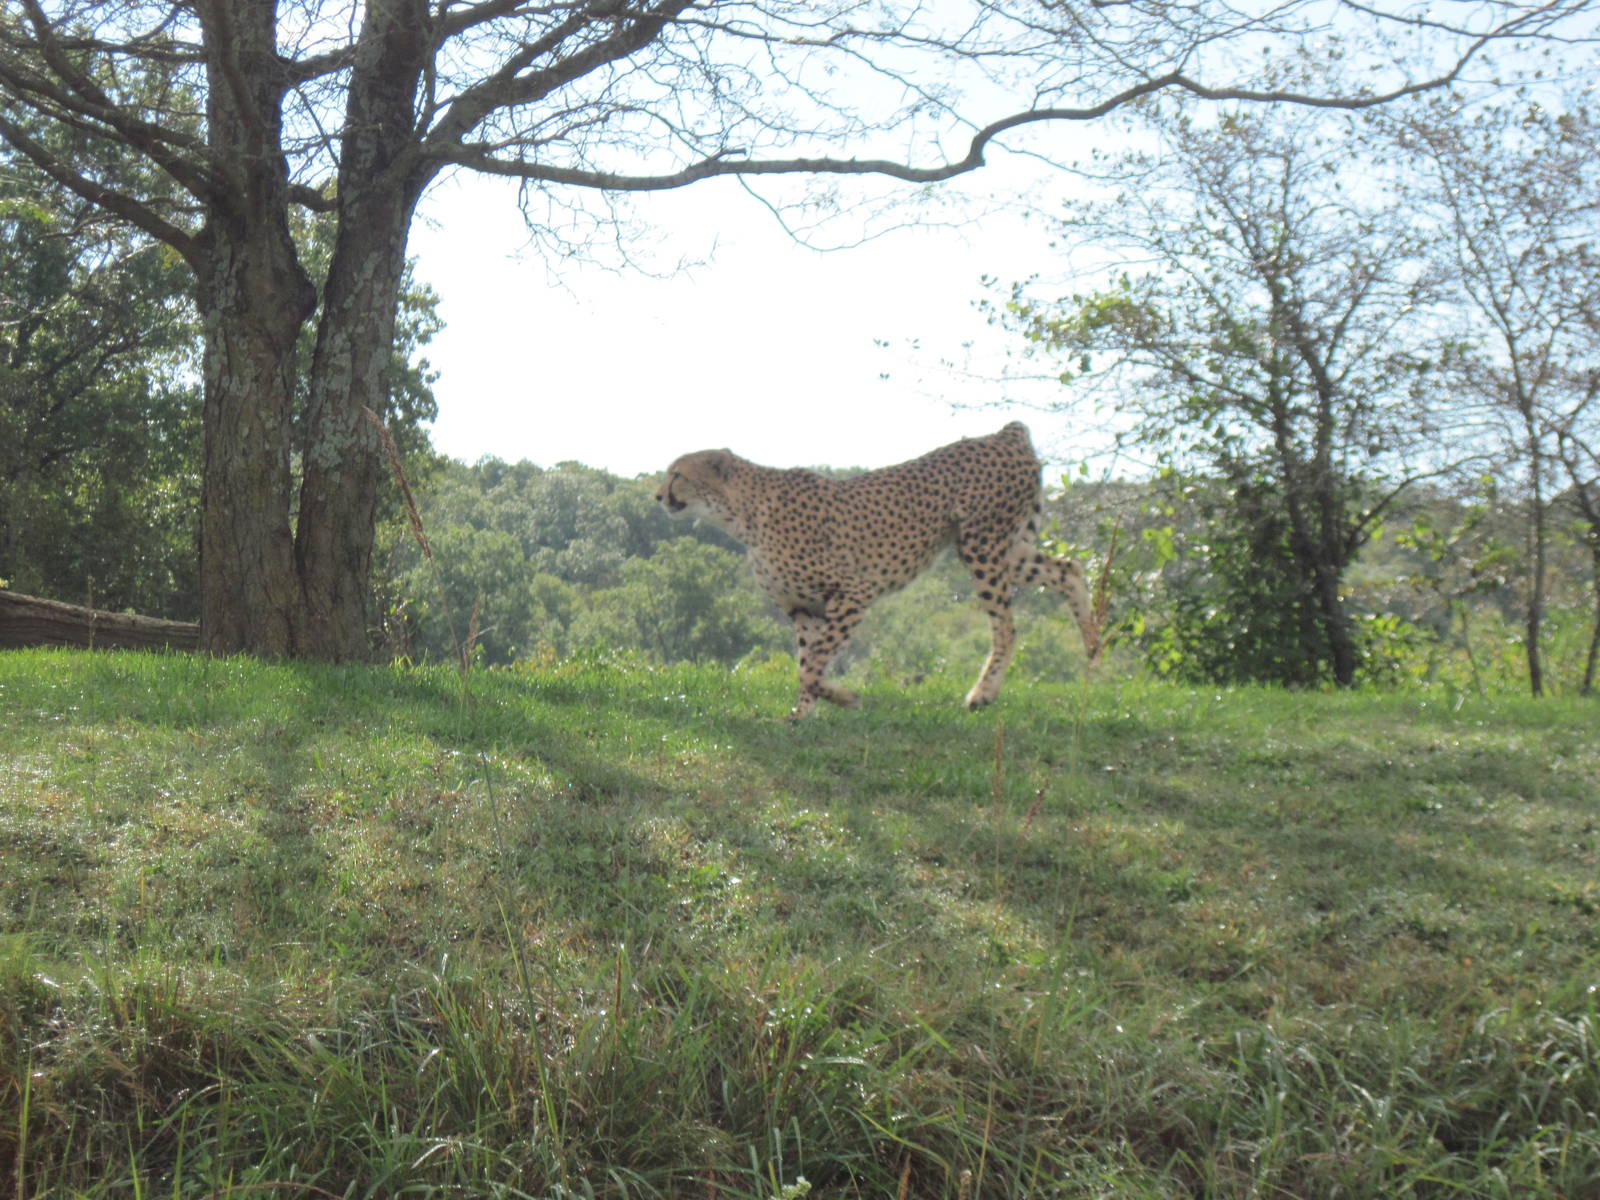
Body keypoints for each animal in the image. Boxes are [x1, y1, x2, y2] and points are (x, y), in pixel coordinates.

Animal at [656, 421, 1100, 719]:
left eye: (678, 474)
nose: (657, 495)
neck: (742, 514)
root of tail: (1004, 434)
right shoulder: (803, 607)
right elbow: (806, 663)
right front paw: (804, 715)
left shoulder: (853, 593)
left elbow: (814, 665)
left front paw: (844, 699)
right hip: (1006, 549)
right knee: (1070, 569)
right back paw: (1094, 656)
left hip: (982, 546)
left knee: (1006, 625)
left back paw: (984, 693)